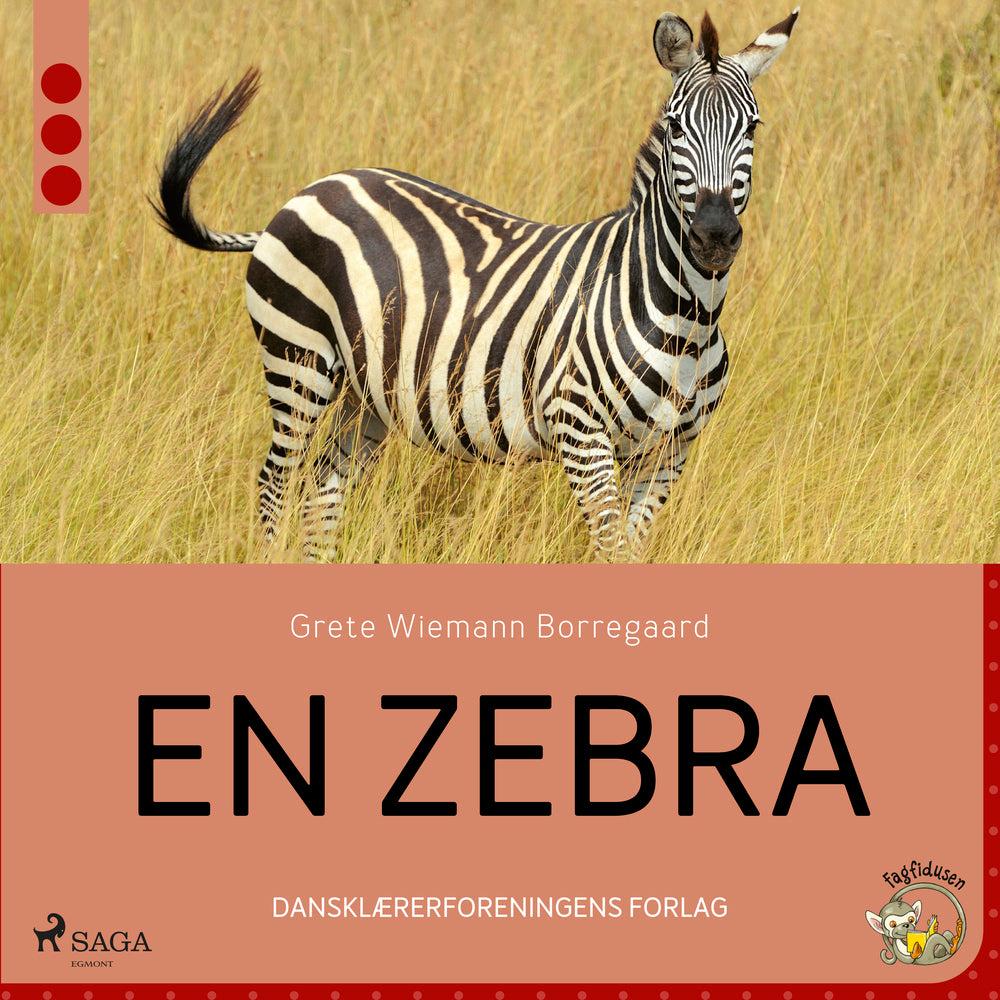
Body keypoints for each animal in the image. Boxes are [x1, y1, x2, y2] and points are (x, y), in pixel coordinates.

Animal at [153, 9, 797, 561]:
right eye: (675, 126)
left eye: (753, 127)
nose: (714, 237)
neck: (685, 316)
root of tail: (310, 191)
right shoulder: (580, 430)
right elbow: (612, 549)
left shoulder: (668, 454)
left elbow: (631, 551)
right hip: (298, 361)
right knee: (273, 484)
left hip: (366, 396)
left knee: (320, 497)